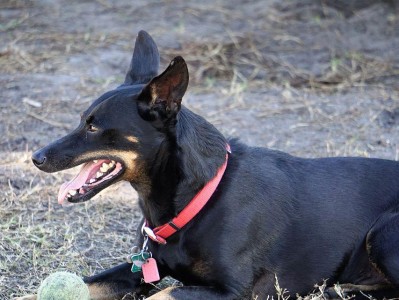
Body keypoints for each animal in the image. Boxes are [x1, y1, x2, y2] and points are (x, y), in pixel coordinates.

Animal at [23, 31, 399, 298]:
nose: (36, 157)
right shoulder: (139, 270)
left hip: (383, 232)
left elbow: (164, 295)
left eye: (93, 127)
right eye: (82, 119)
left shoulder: (234, 291)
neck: (200, 197)